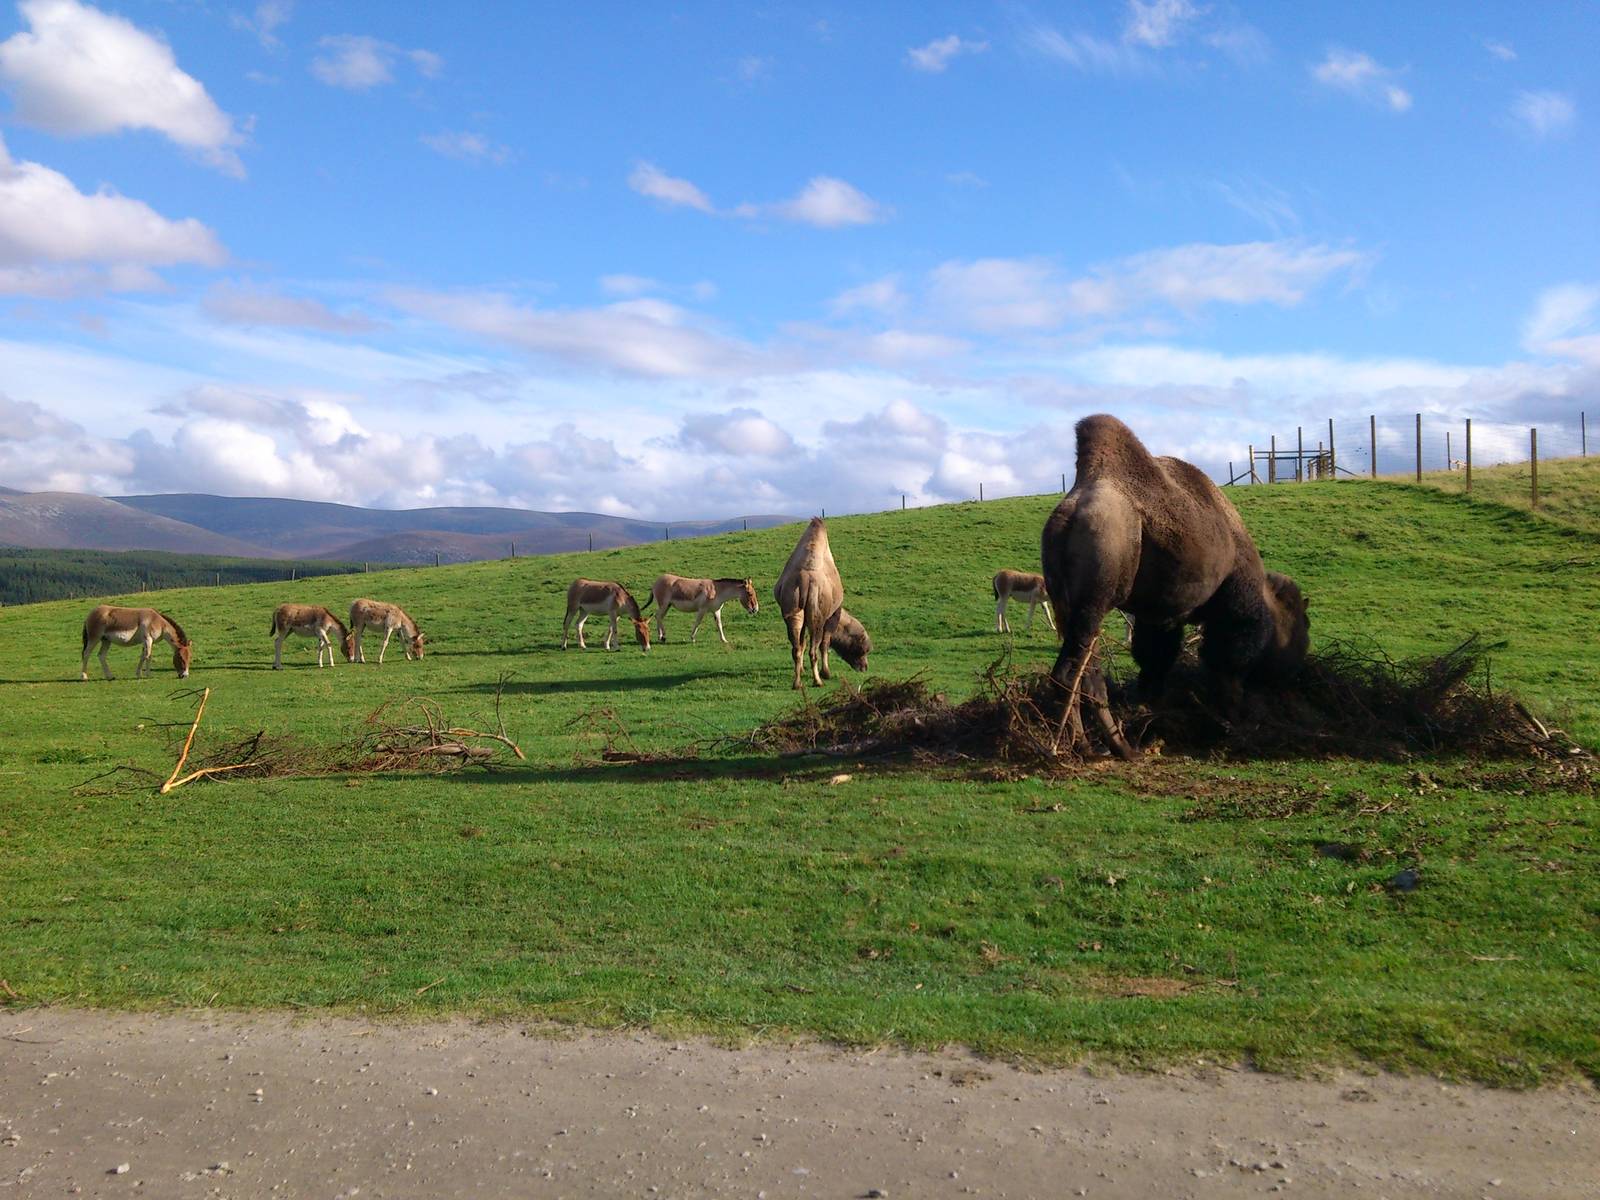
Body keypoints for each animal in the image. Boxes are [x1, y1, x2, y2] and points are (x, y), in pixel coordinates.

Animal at [774, 518, 871, 689]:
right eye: (863, 650)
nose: (865, 667)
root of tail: (804, 580)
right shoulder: (832, 615)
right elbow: (825, 644)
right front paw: (826, 672)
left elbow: (803, 643)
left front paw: (802, 670)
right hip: (817, 616)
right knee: (814, 648)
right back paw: (818, 681)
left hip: (792, 609)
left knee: (796, 647)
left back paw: (797, 683)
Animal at [1041, 414, 1311, 759]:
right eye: (1305, 623)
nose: (1296, 673)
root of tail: (1068, 517)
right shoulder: (1234, 604)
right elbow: (1228, 664)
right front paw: (1231, 724)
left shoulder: (1159, 617)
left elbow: (1155, 661)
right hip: (1097, 593)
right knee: (1070, 674)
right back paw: (1093, 748)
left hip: (1068, 601)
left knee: (1088, 673)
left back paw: (1107, 746)